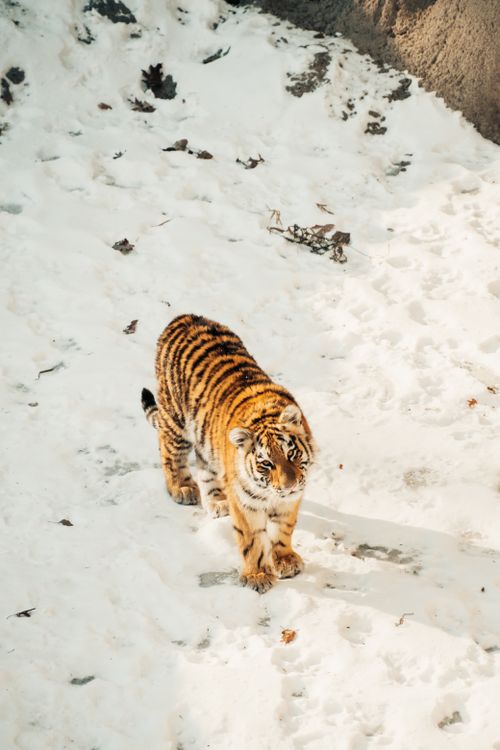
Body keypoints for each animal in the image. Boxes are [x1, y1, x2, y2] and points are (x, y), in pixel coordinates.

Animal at [141, 314, 315, 593]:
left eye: (291, 455)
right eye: (266, 463)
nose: (288, 485)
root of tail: (182, 317)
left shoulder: (290, 500)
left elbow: (284, 529)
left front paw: (286, 560)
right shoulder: (246, 502)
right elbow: (252, 539)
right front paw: (257, 575)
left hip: (205, 438)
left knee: (205, 467)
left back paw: (217, 501)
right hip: (175, 421)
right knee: (170, 453)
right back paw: (182, 488)